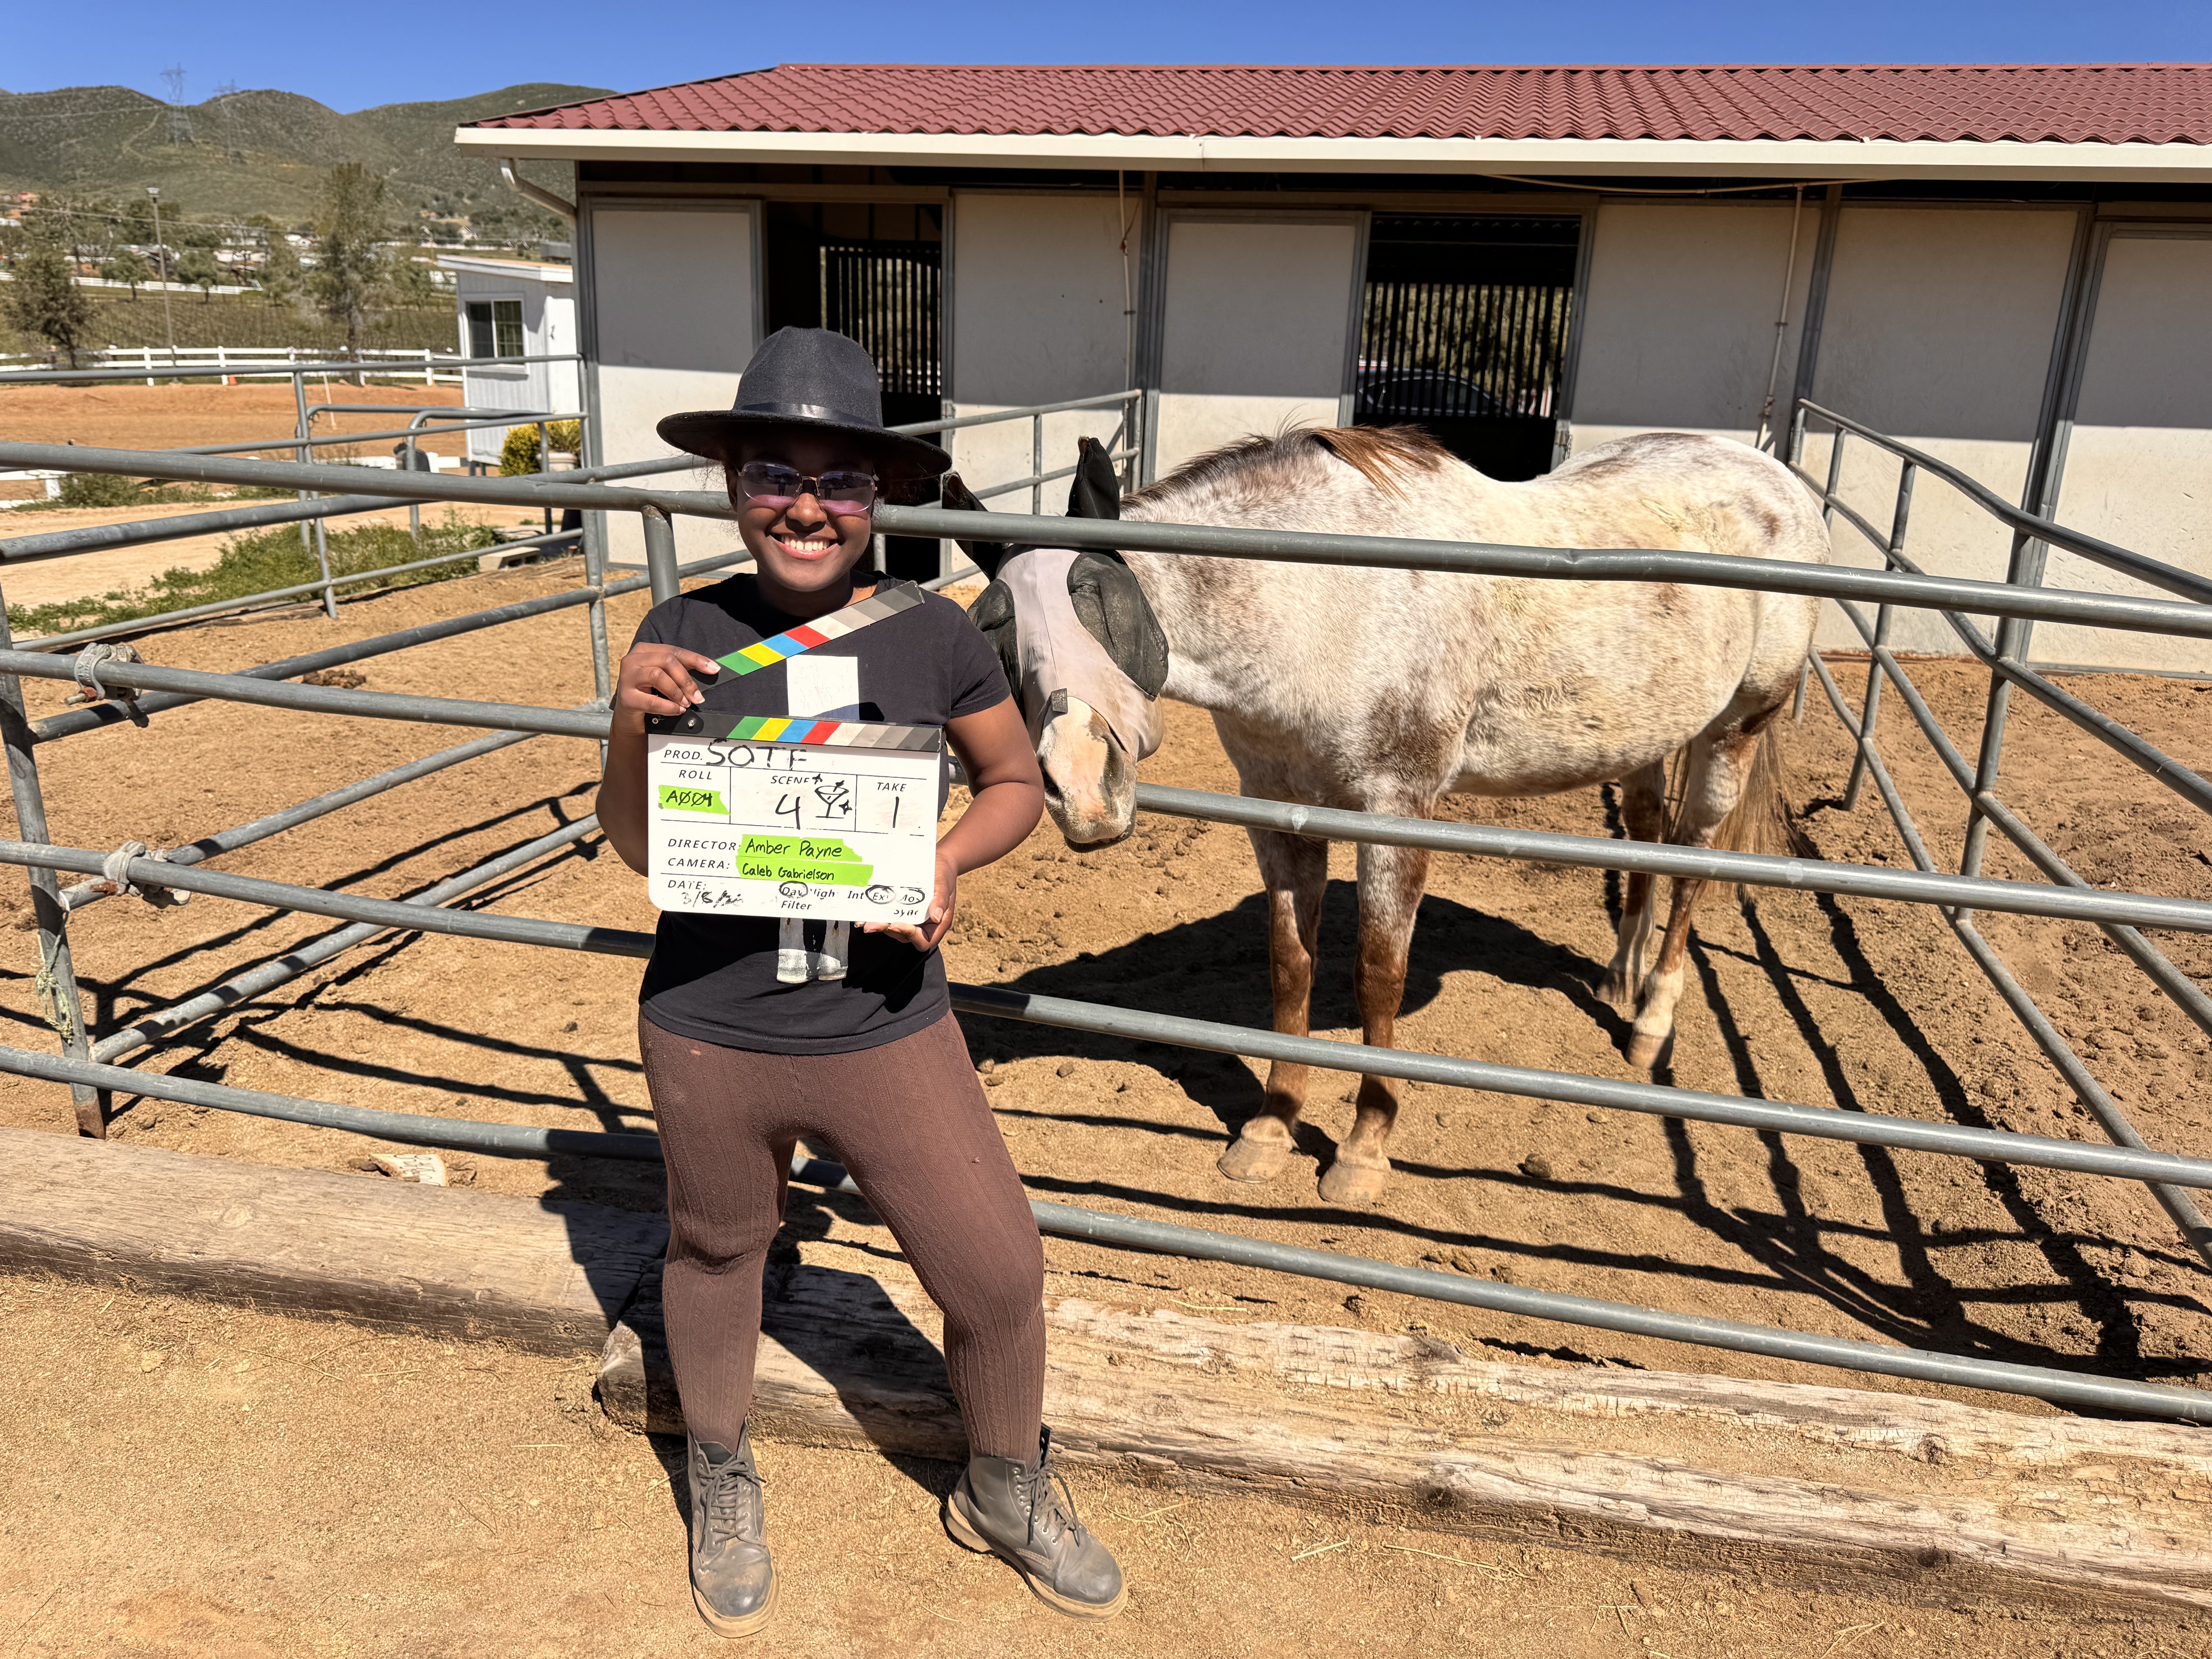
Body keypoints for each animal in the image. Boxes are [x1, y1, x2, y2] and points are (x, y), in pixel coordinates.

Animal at [944, 425, 1830, 1205]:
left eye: (1100, 599)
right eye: (992, 630)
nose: (1081, 787)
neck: (1327, 601)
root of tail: (1772, 476)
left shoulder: (1396, 810)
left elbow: (1379, 975)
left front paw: (1363, 1153)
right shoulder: (1277, 805)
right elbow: (1290, 965)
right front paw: (1270, 1129)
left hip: (1736, 730)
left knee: (1693, 863)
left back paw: (1650, 1019)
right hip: (1648, 731)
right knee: (1647, 836)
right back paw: (1619, 978)